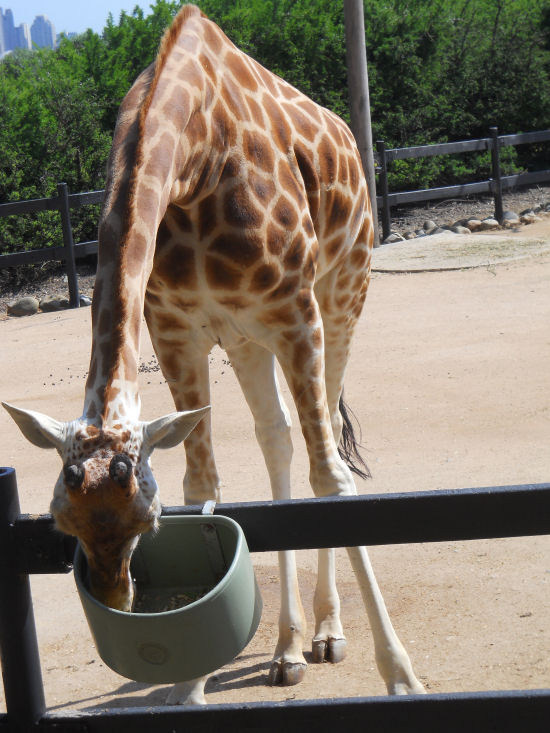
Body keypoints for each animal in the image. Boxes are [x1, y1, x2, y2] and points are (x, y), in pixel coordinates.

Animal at [3, 4, 425, 704]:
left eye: (146, 522)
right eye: (63, 524)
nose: (119, 600)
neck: (194, 158)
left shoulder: (296, 313)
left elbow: (332, 479)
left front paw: (401, 676)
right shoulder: (176, 330)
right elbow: (202, 482)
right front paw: (187, 686)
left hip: (341, 299)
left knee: (327, 448)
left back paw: (328, 634)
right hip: (248, 338)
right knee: (276, 438)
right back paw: (287, 648)